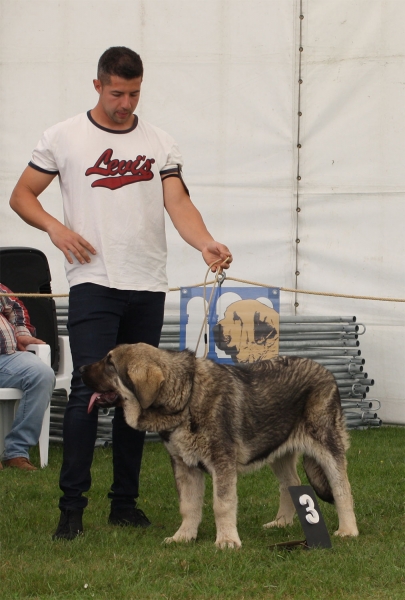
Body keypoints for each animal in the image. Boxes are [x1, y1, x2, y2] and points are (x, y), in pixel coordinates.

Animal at [79, 342, 356, 548]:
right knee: (292, 483)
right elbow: (188, 505)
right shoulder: (185, 467)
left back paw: (348, 530)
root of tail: (327, 372)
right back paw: (282, 522)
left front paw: (226, 540)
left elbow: (221, 505)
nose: (80, 368)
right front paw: (184, 536)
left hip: (327, 447)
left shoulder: (222, 465)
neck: (187, 396)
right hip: (277, 451)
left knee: (342, 488)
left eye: (110, 363)